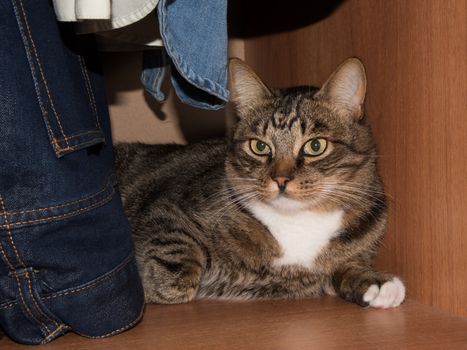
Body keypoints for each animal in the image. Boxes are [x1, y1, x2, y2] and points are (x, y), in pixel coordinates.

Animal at [116, 58, 406, 308]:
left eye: (315, 146)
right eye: (259, 146)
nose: (281, 179)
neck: (299, 220)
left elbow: (348, 266)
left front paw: (375, 282)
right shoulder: (166, 211)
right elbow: (175, 280)